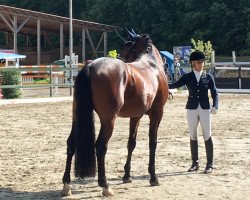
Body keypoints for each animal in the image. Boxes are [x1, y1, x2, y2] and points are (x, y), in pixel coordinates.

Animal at [61, 33, 169, 197]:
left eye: (126, 48)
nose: (122, 58)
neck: (152, 65)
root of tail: (89, 67)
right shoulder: (157, 114)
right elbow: (153, 143)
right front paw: (153, 177)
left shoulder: (135, 116)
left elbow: (131, 143)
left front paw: (127, 176)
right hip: (108, 121)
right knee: (100, 146)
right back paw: (105, 186)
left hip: (77, 118)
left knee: (71, 144)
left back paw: (67, 185)